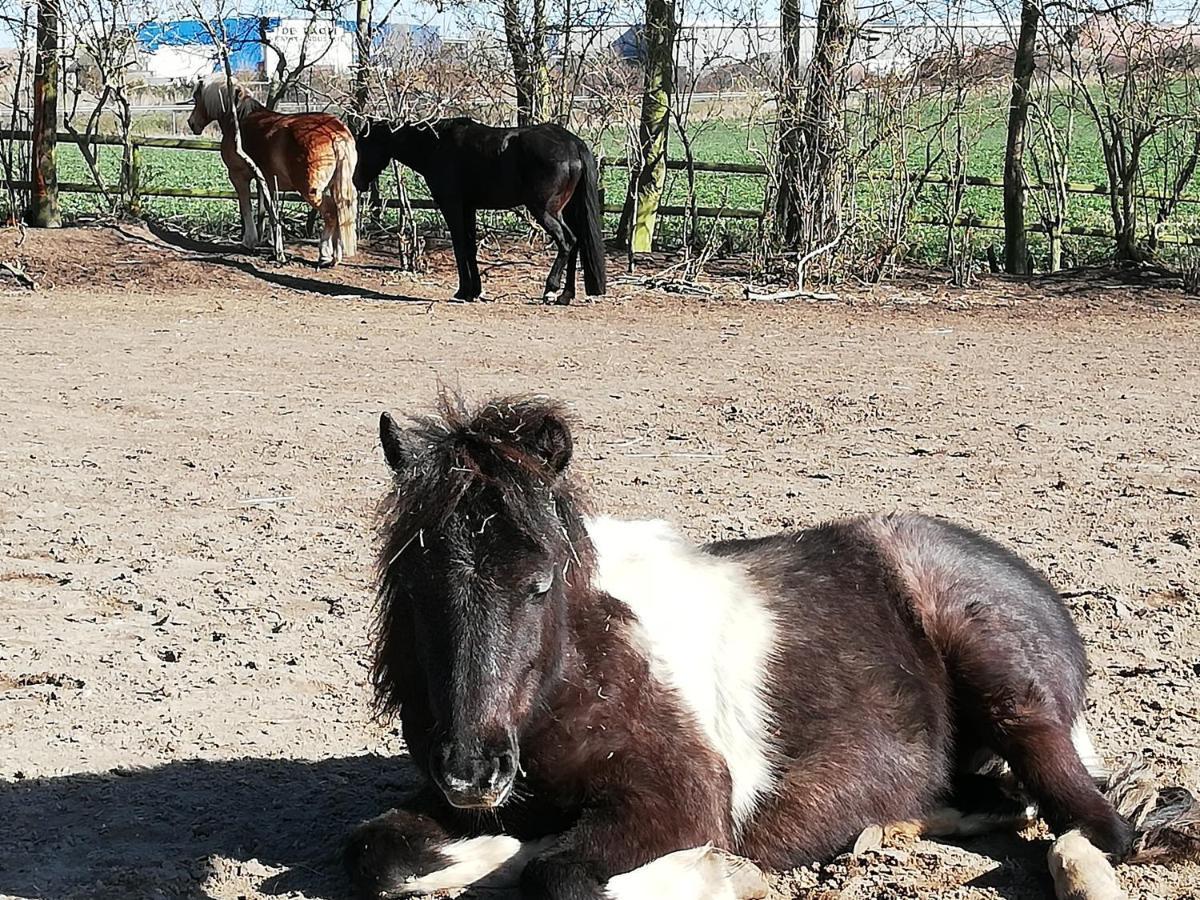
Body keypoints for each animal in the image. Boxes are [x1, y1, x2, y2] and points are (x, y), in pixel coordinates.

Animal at [186, 75, 355, 266]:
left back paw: (325, 255)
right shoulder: (266, 181)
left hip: (311, 191)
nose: (191, 123)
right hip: (335, 187)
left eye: (197, 97)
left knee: (331, 213)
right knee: (340, 212)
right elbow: (268, 208)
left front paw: (249, 241)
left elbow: (246, 207)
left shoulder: (238, 176)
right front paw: (272, 243)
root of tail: (334, 133)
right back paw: (336, 256)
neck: (238, 119)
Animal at [343, 400, 1195, 900]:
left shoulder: (683, 794)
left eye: (541, 582)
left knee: (1093, 825)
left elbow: (562, 874)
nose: (472, 772)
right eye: (413, 584)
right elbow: (381, 853)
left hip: (1013, 693)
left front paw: (721, 871)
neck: (578, 676)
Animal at [350, 118, 604, 307]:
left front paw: (463, 291)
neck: (436, 145)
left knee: (567, 241)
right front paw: (475, 291)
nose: (356, 181)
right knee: (576, 243)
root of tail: (572, 144)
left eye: (363, 146)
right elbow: (470, 247)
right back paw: (565, 295)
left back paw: (551, 290)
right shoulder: (468, 208)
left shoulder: (452, 206)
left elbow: (460, 246)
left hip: (544, 211)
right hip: (564, 210)